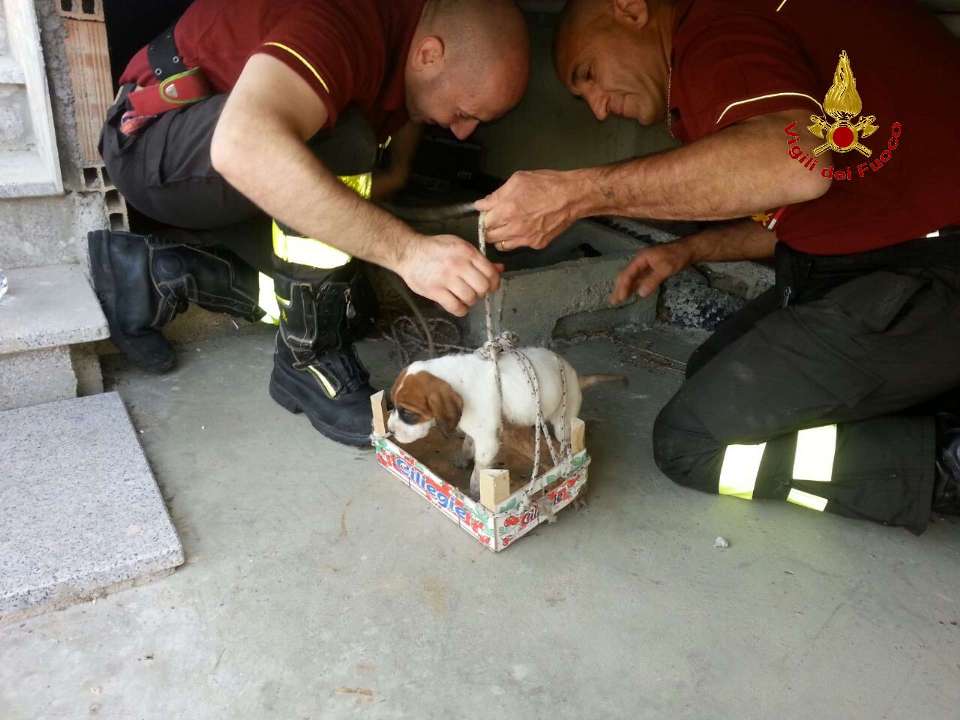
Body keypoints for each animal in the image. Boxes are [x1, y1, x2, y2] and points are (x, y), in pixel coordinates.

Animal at [388, 348, 620, 496]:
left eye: (408, 413)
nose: (389, 430)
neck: (456, 380)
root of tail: (575, 376)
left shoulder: (487, 441)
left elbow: (480, 469)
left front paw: (476, 490)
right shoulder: (475, 428)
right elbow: (468, 443)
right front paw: (463, 458)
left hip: (563, 421)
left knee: (565, 443)